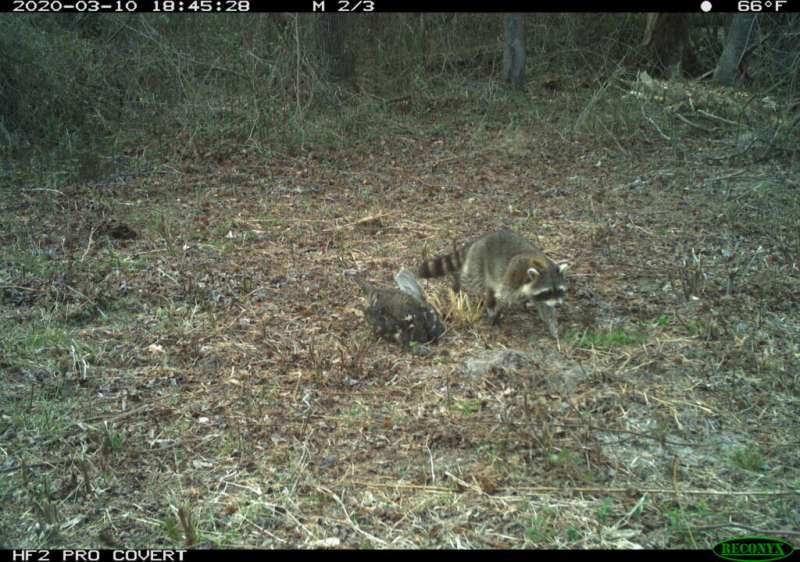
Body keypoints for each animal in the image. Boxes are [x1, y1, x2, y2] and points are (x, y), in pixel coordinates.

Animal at [418, 229, 568, 336]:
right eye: (548, 291)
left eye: (559, 290)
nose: (559, 305)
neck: (542, 266)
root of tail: (478, 241)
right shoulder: (512, 279)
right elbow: (502, 297)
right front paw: (495, 313)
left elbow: (545, 307)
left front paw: (553, 328)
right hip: (478, 264)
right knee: (472, 280)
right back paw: (458, 281)